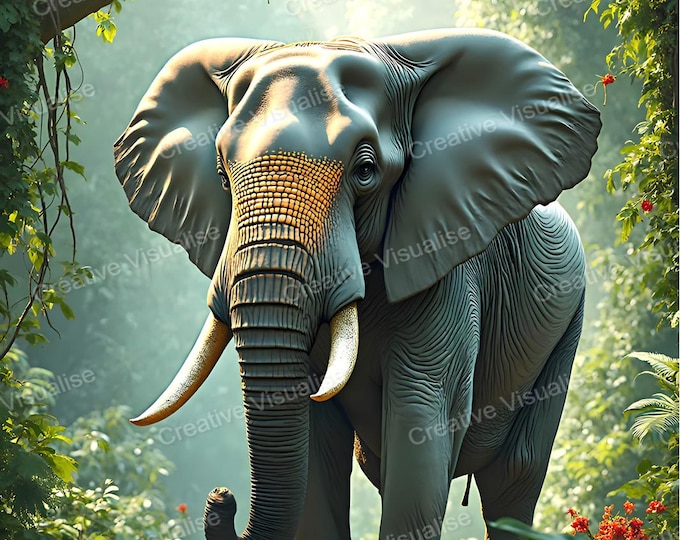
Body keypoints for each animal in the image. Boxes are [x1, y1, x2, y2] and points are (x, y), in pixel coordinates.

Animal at [113, 28, 601, 540]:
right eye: (223, 179)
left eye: (365, 172)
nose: (222, 498)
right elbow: (316, 438)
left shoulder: (447, 267)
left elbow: (420, 415)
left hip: (567, 325)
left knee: (514, 477)